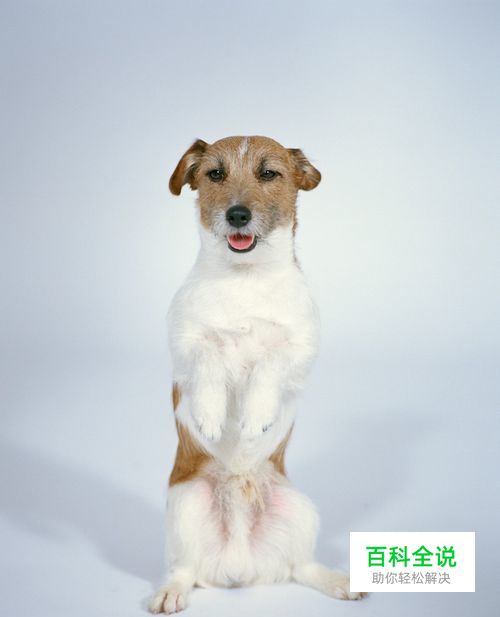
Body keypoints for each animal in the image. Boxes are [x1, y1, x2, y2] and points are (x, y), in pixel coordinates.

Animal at [149, 136, 364, 613]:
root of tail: (239, 562)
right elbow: (209, 357)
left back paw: (340, 581)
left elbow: (270, 362)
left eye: (269, 173)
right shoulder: (185, 346)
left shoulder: (299, 351)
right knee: (183, 569)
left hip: (299, 508)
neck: (243, 280)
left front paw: (255, 415)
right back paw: (170, 592)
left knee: (301, 567)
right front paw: (211, 414)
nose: (237, 215)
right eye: (215, 174)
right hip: (185, 506)